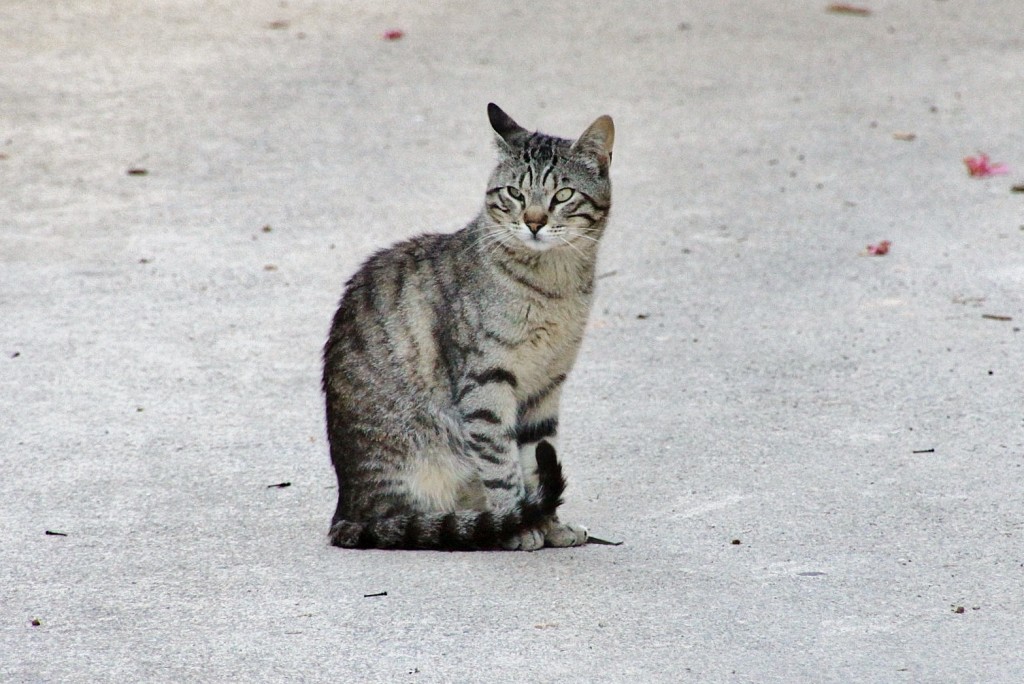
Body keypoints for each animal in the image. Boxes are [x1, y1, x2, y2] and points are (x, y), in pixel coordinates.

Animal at [319, 101, 610, 548]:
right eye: (514, 193)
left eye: (562, 195)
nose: (534, 221)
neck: (553, 286)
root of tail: (346, 511)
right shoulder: (486, 383)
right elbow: (503, 466)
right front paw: (517, 523)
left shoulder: (546, 387)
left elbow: (536, 459)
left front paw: (549, 525)